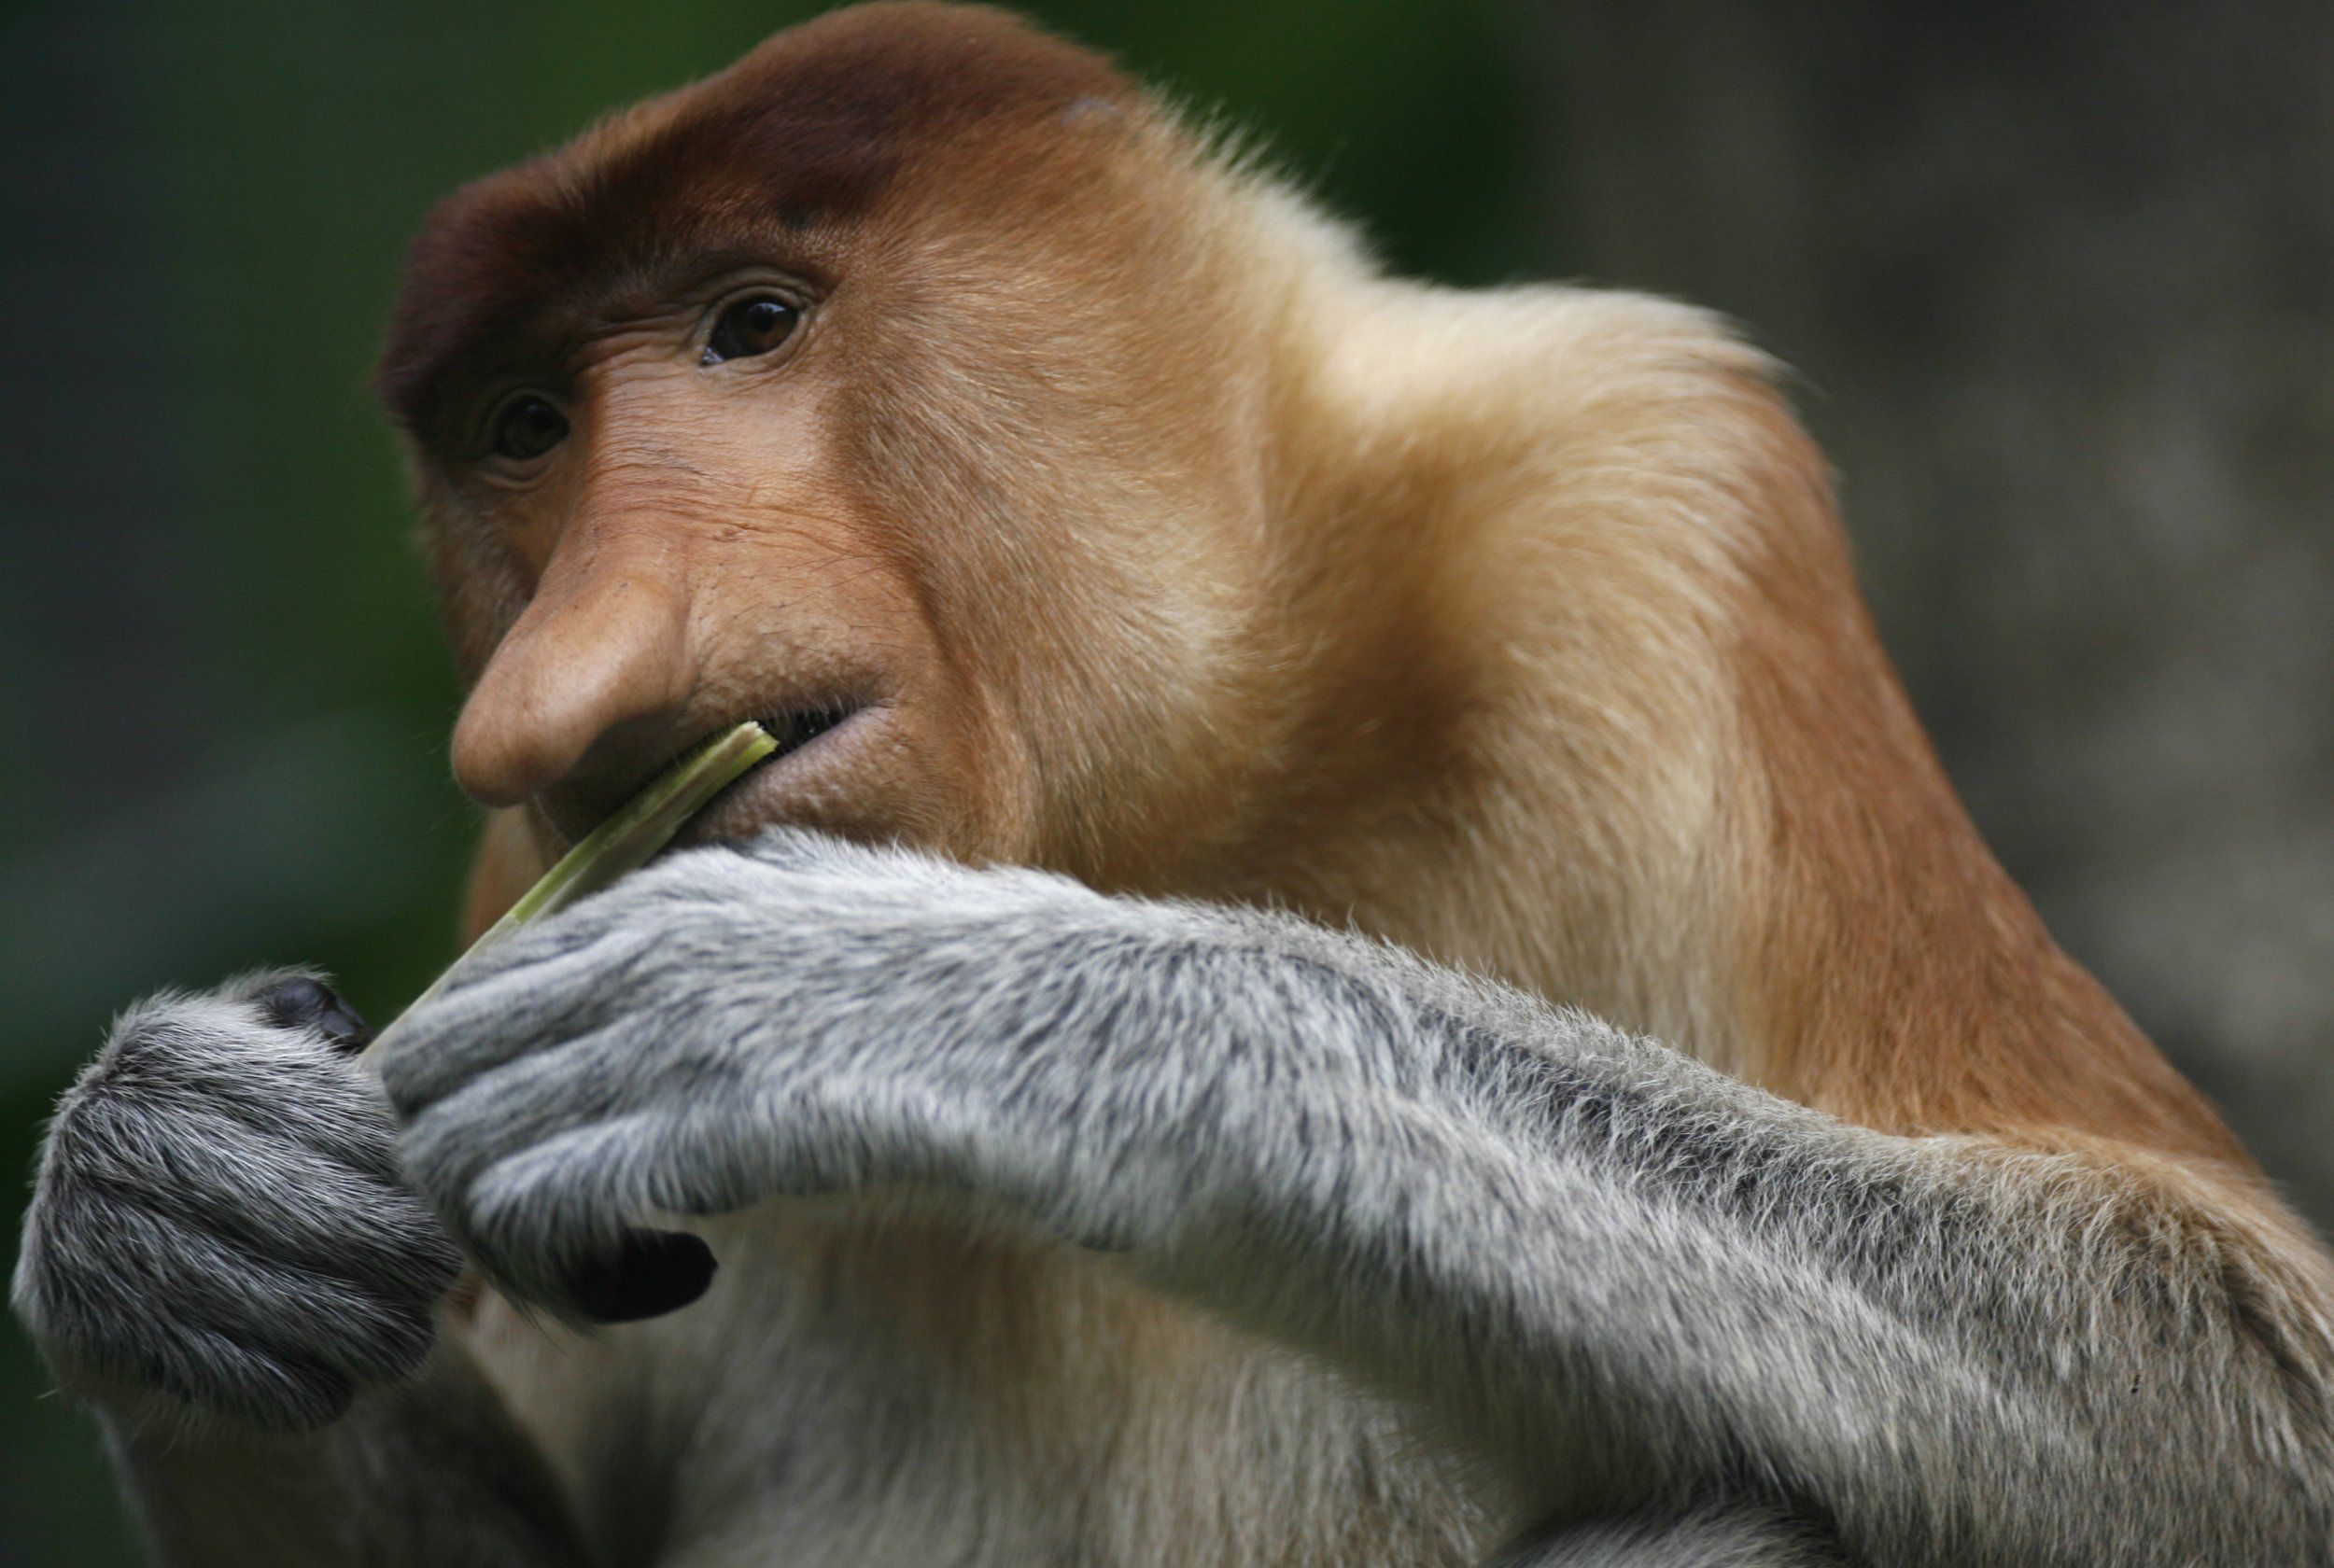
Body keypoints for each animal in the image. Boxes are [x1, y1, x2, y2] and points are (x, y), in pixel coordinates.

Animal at [14, 3, 2334, 1564]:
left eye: (750, 323)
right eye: (523, 428)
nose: (556, 677)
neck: (1196, 784)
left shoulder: (1636, 498)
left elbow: (2216, 1373)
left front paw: (873, 1005)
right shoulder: (533, 852)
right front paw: (169, 1194)